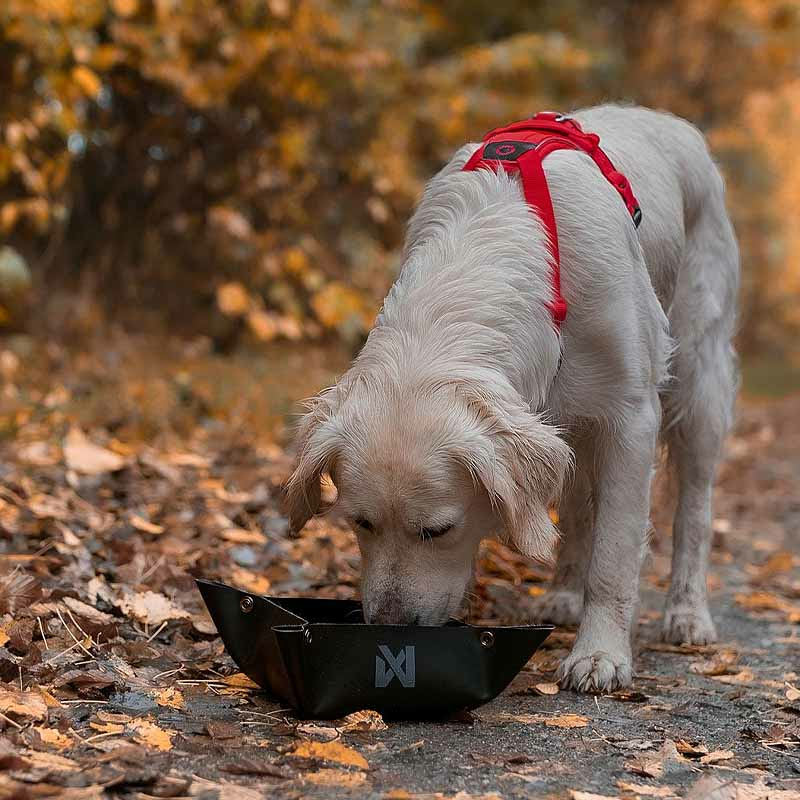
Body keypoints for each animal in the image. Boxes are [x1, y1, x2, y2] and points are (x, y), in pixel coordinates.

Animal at [284, 104, 740, 692]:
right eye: (361, 524)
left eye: (438, 530)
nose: (390, 626)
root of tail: (666, 119)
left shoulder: (631, 417)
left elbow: (615, 554)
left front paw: (600, 654)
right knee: (578, 506)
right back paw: (564, 594)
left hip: (697, 380)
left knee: (695, 507)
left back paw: (687, 612)